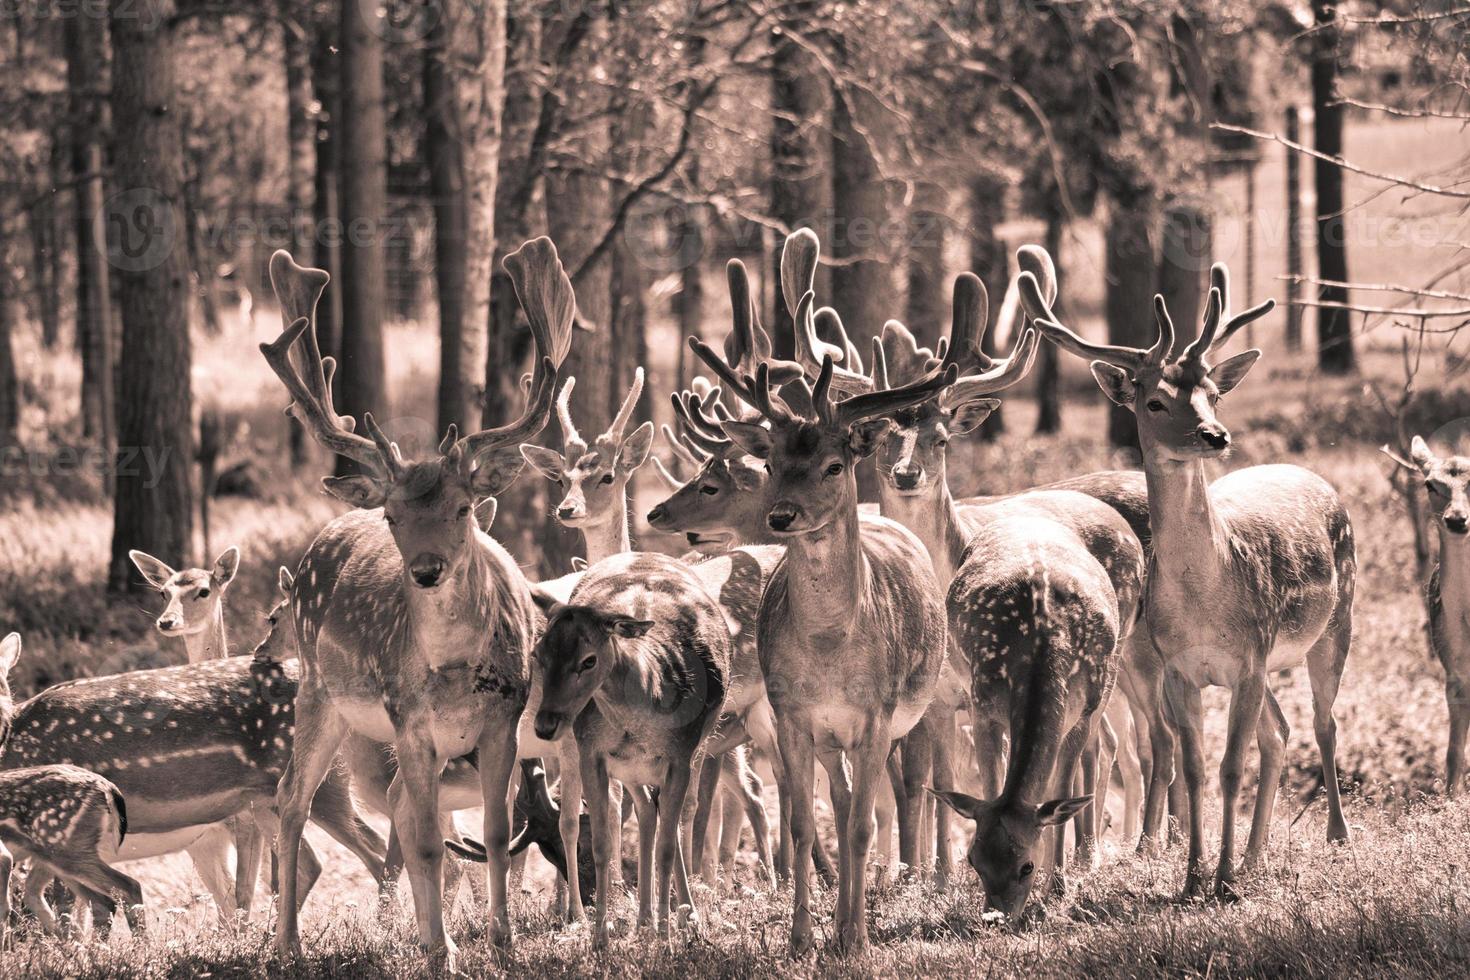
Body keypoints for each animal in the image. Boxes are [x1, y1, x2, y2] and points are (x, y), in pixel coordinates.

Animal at [261, 239, 570, 975]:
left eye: (462, 509)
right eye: (396, 516)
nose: (427, 571)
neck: (454, 673)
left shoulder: (503, 722)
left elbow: (494, 834)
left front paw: (500, 940)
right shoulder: (410, 722)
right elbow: (429, 841)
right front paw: (445, 950)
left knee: (395, 809)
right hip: (319, 692)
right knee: (292, 799)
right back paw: (288, 942)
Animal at [532, 552, 732, 940]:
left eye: (589, 660)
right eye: (538, 655)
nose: (545, 724)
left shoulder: (680, 755)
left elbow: (667, 847)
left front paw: (667, 936)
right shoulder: (593, 755)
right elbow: (602, 843)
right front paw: (600, 937)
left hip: (695, 747)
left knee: (669, 818)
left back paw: (683, 916)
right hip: (631, 770)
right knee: (646, 812)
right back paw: (643, 920)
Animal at [1034, 264, 1352, 899]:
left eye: (1213, 393)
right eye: (1155, 400)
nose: (1216, 435)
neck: (1206, 596)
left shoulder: (1249, 657)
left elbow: (1231, 767)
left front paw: (1222, 881)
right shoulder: (1182, 667)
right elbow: (1197, 766)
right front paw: (1194, 876)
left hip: (1339, 619)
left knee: (1324, 723)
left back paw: (1335, 836)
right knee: (1280, 732)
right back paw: (1255, 858)